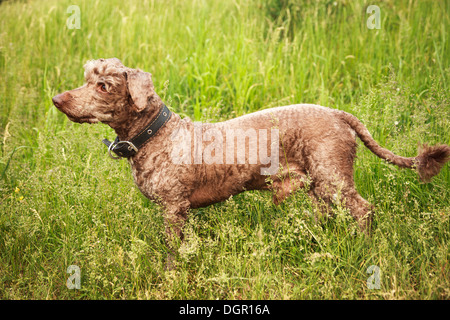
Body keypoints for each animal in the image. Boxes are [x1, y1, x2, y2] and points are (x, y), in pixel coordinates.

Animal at [53, 58, 450, 262]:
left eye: (103, 85)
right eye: (86, 77)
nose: (57, 99)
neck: (156, 134)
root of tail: (338, 114)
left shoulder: (174, 207)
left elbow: (172, 250)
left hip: (333, 177)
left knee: (364, 210)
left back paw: (364, 249)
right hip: (319, 185)